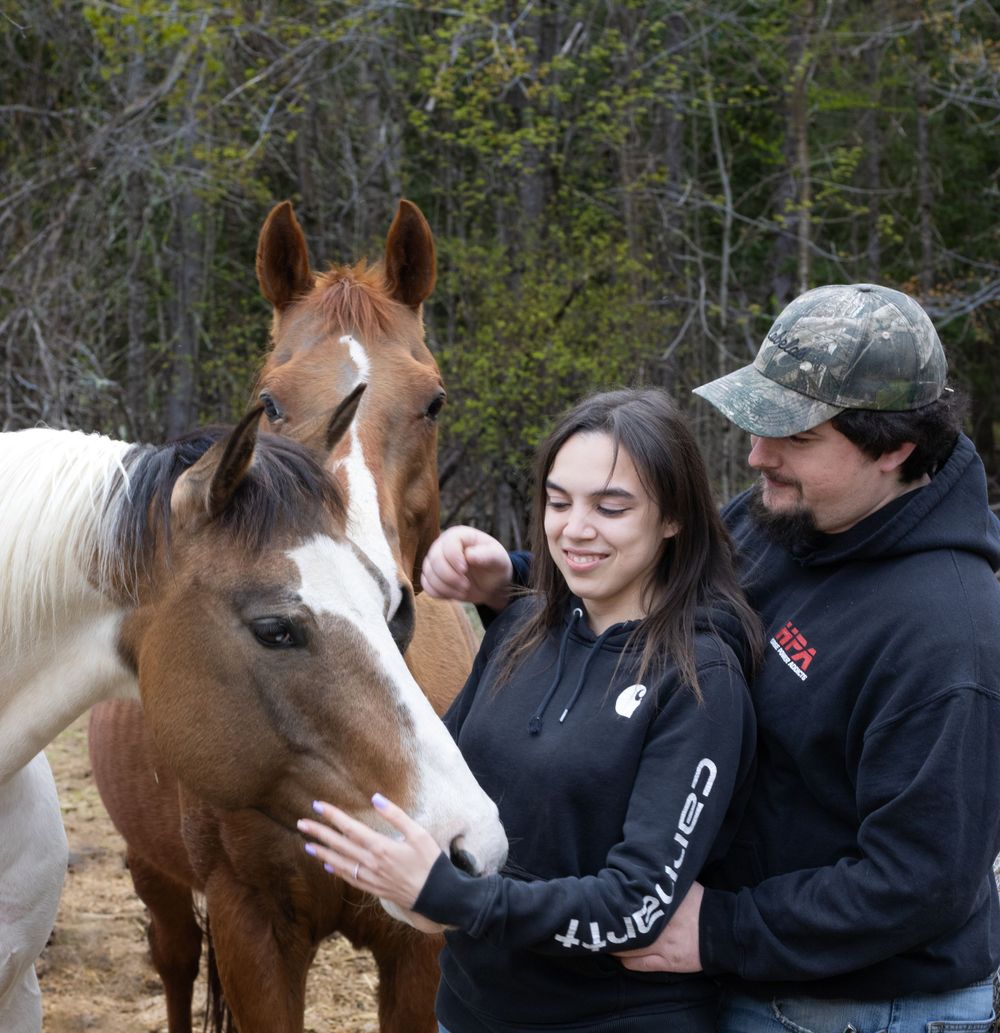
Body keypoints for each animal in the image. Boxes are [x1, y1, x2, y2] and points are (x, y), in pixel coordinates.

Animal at [88, 200, 489, 1032]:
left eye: (433, 400)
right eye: (271, 399)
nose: (381, 600)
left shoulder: (419, 944)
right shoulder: (253, 924)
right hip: (155, 873)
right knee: (175, 963)